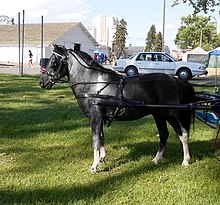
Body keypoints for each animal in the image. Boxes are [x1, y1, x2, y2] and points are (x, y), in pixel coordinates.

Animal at [39, 44, 196, 173]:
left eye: (53, 62)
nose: (42, 82)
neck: (93, 84)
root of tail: (176, 80)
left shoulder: (95, 118)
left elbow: (95, 141)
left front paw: (94, 166)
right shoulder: (99, 119)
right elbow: (101, 138)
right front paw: (101, 159)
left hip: (171, 114)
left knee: (183, 134)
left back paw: (185, 161)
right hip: (158, 115)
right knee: (164, 135)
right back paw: (156, 159)